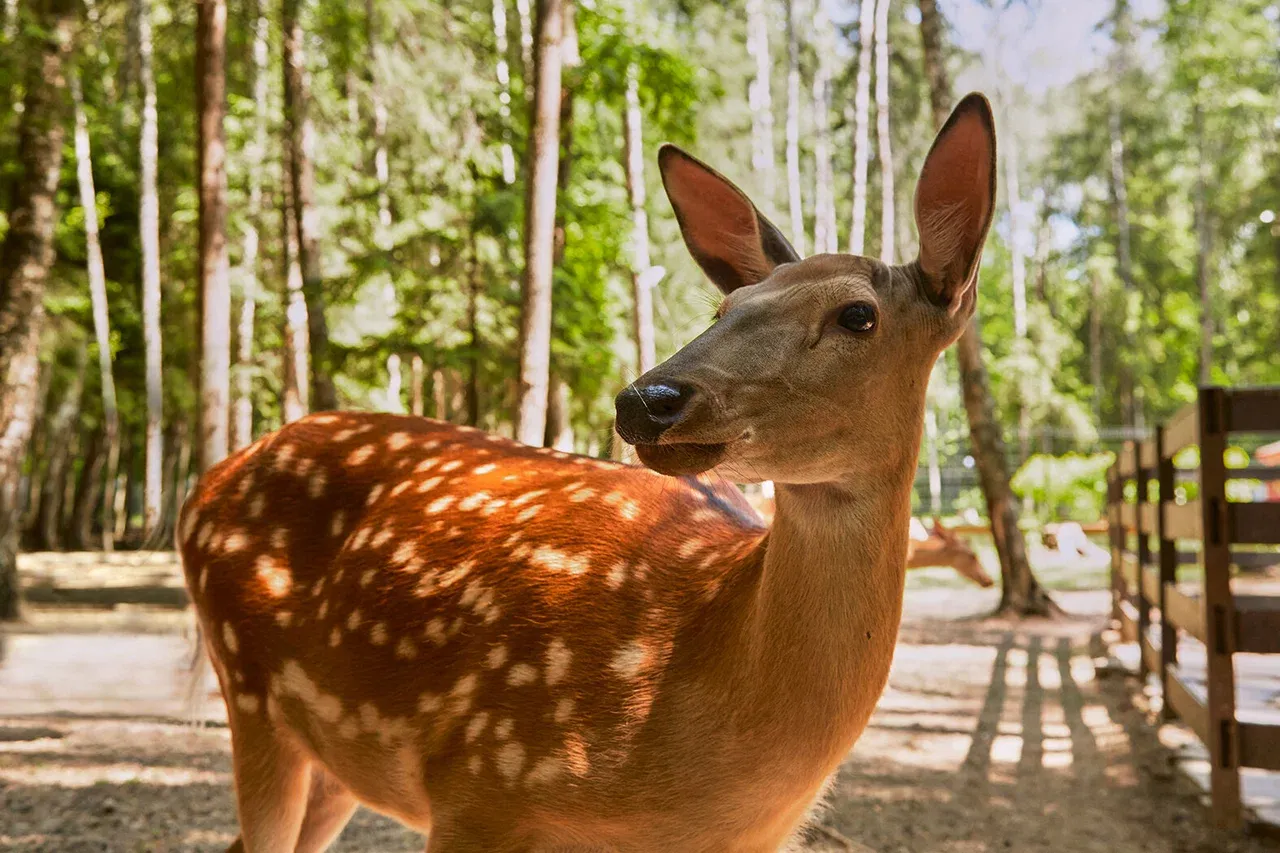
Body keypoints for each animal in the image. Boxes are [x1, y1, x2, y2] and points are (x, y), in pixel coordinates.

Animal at [180, 92, 998, 850]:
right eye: (724, 304)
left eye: (858, 315)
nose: (647, 399)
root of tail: (208, 482)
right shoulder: (478, 781)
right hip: (250, 688)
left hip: (335, 758)